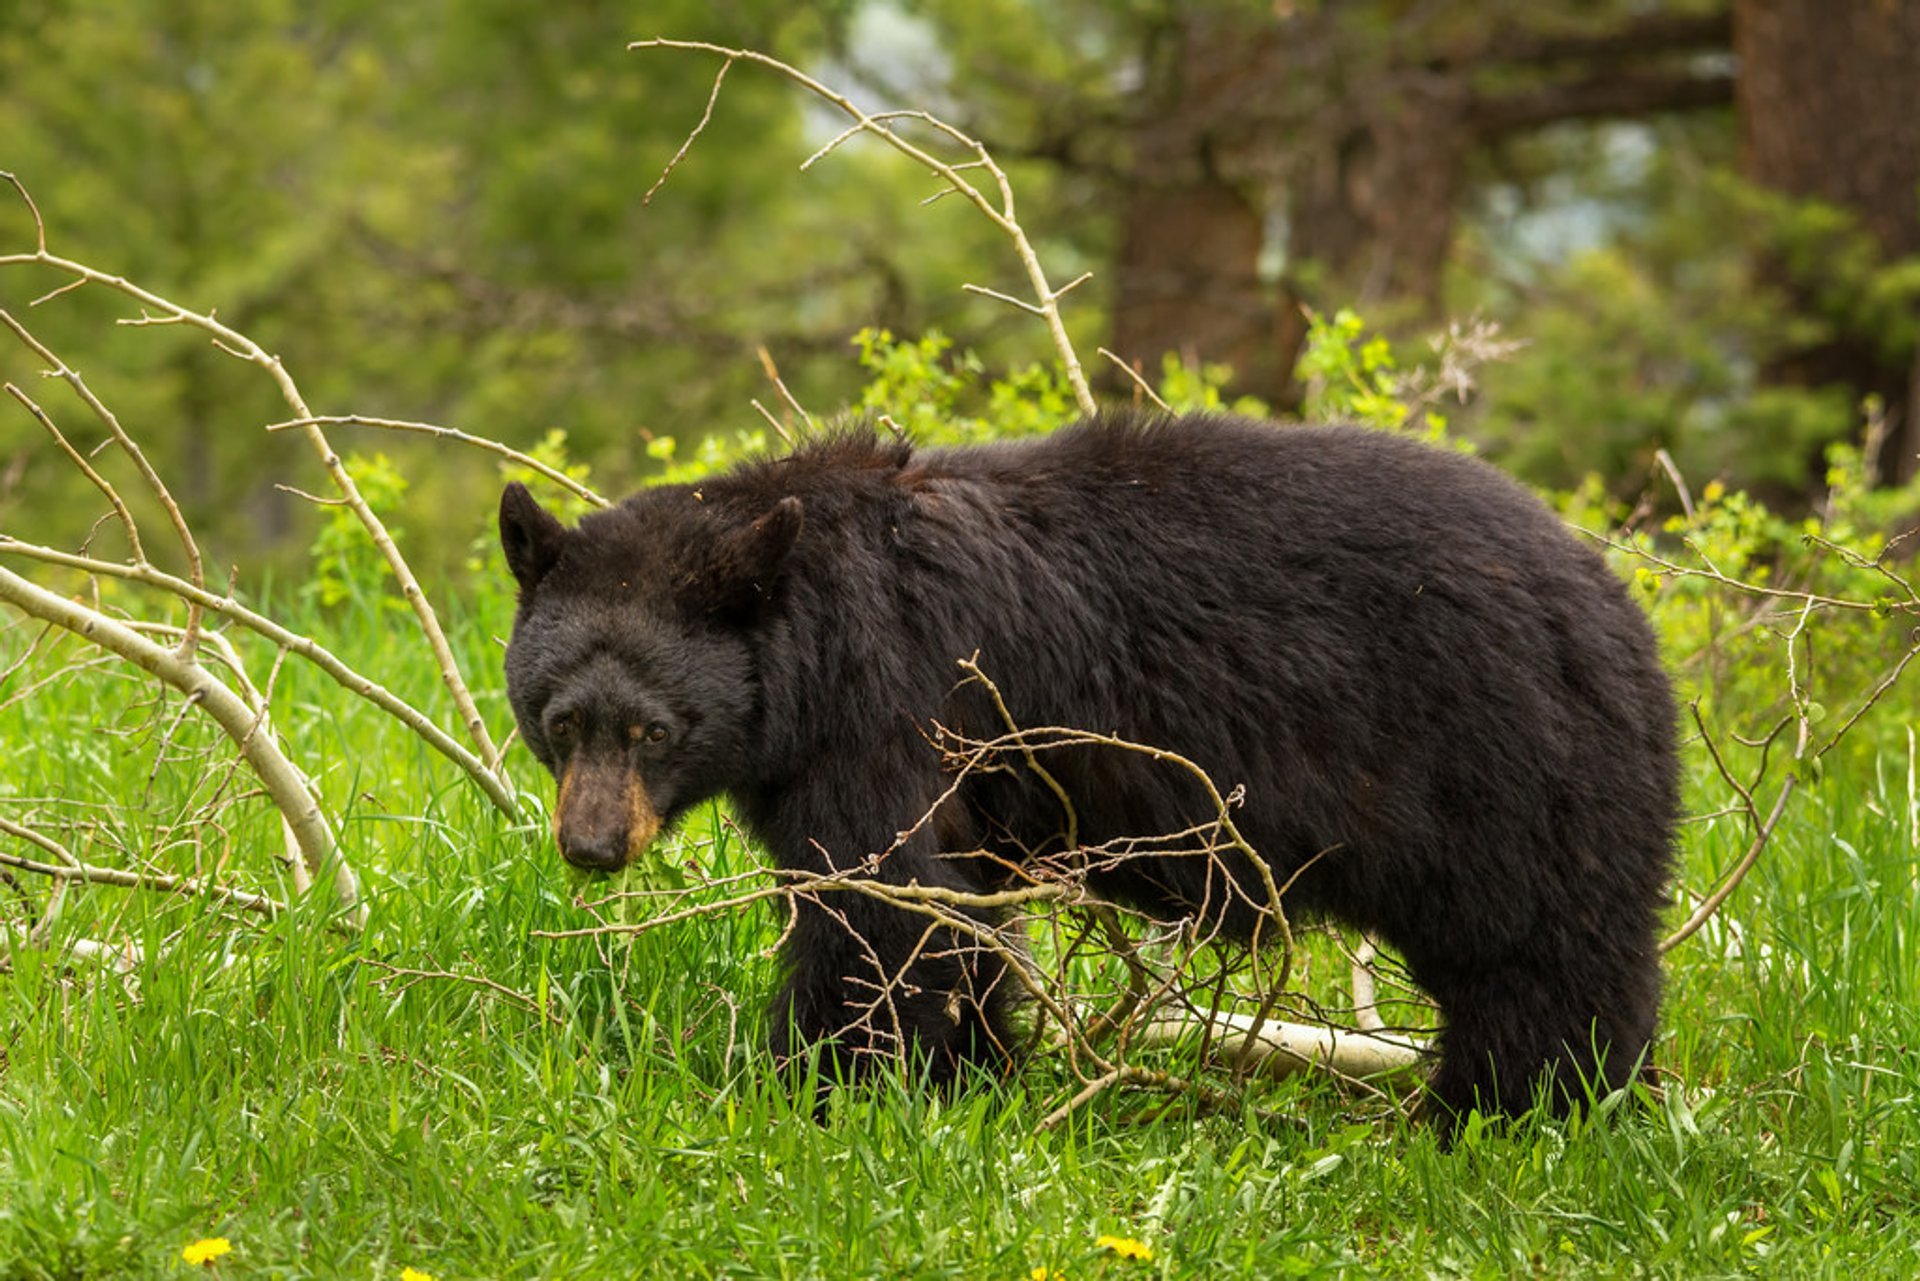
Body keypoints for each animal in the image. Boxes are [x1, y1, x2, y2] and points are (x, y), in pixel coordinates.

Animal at [499, 410, 1681, 1129]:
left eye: (654, 730)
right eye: (560, 720)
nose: (591, 846)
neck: (807, 634)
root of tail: (1617, 602)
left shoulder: (892, 706)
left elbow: (885, 909)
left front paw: (822, 1090)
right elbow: (961, 911)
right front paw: (968, 1075)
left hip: (1500, 757)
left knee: (1537, 947)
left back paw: (1515, 1109)